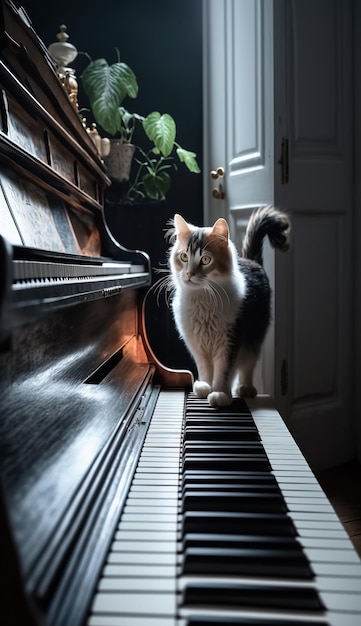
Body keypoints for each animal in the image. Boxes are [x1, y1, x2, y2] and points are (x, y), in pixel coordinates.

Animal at [167, 205, 290, 408]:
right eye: (184, 257)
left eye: (205, 260)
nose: (189, 274)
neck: (203, 300)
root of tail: (252, 261)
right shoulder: (196, 344)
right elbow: (205, 368)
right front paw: (205, 386)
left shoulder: (230, 341)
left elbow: (224, 370)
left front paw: (220, 393)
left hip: (254, 338)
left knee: (247, 366)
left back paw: (245, 388)